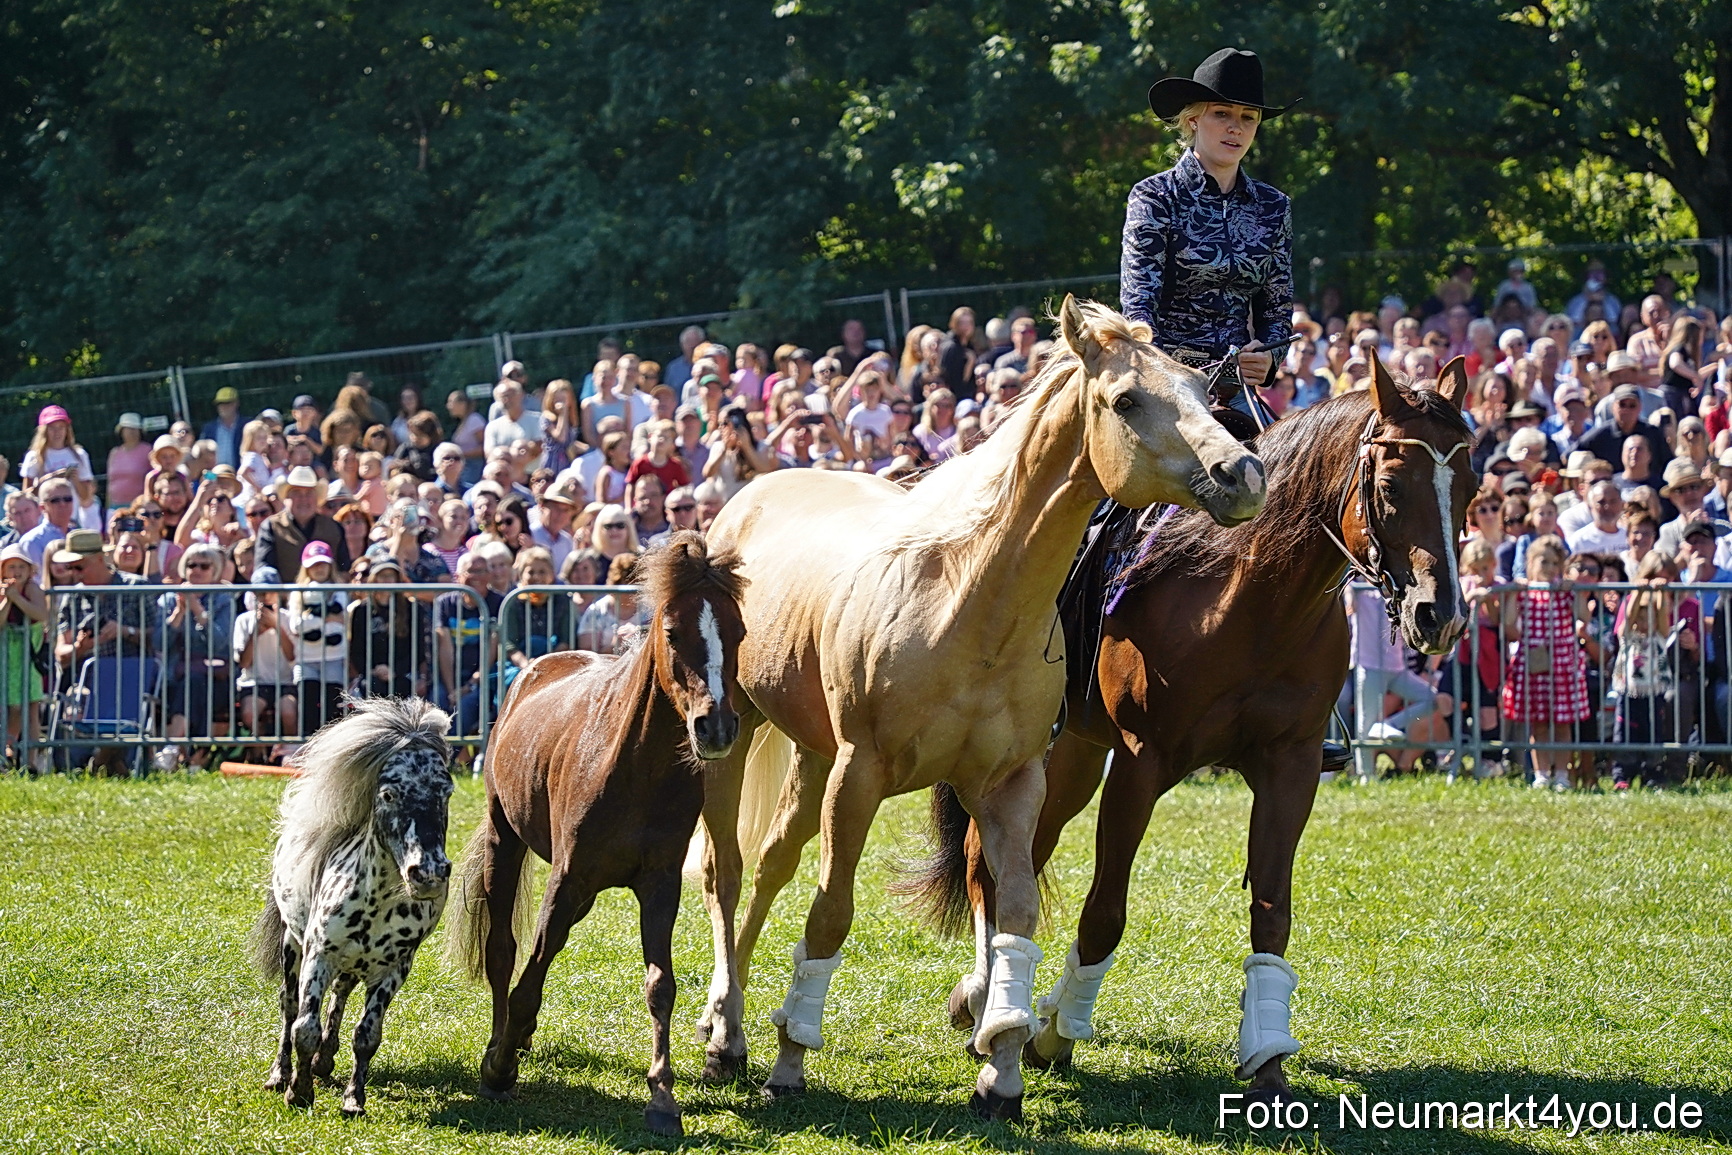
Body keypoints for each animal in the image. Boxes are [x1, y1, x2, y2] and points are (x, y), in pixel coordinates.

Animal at [251, 695, 455, 1116]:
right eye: (389, 793)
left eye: (446, 792)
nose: (428, 873)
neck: (377, 904)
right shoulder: (319, 956)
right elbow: (304, 1028)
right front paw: (298, 1092)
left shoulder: (394, 970)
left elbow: (367, 1035)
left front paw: (353, 1099)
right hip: (292, 946)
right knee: (289, 1006)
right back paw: (281, 1074)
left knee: (340, 996)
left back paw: (325, 1061)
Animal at [447, 531, 745, 1139]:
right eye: (673, 632)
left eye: (740, 632)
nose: (717, 727)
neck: (635, 766)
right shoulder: (567, 879)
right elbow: (530, 972)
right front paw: (498, 1067)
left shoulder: (659, 886)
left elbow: (661, 985)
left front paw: (662, 1098)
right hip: (504, 840)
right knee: (502, 951)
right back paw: (501, 1043)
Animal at [690, 296, 1267, 1120]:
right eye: (1127, 400)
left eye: (1200, 390)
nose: (1242, 473)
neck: (967, 598)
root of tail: (742, 502)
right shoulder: (861, 777)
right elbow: (831, 912)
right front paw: (792, 1060)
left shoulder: (1009, 785)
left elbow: (1016, 914)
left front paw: (1003, 1069)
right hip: (735, 736)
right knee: (726, 872)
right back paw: (725, 1031)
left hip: (811, 754)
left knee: (770, 865)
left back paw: (726, 1021)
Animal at [913, 356, 1475, 1101]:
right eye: (1390, 486)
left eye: (1469, 488)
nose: (1440, 615)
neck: (1249, 595)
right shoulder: (1141, 762)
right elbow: (1105, 911)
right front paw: (1055, 1033)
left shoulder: (1291, 766)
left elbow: (1272, 910)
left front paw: (1266, 1053)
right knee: (985, 859)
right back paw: (984, 998)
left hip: (1075, 756)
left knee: (1020, 855)